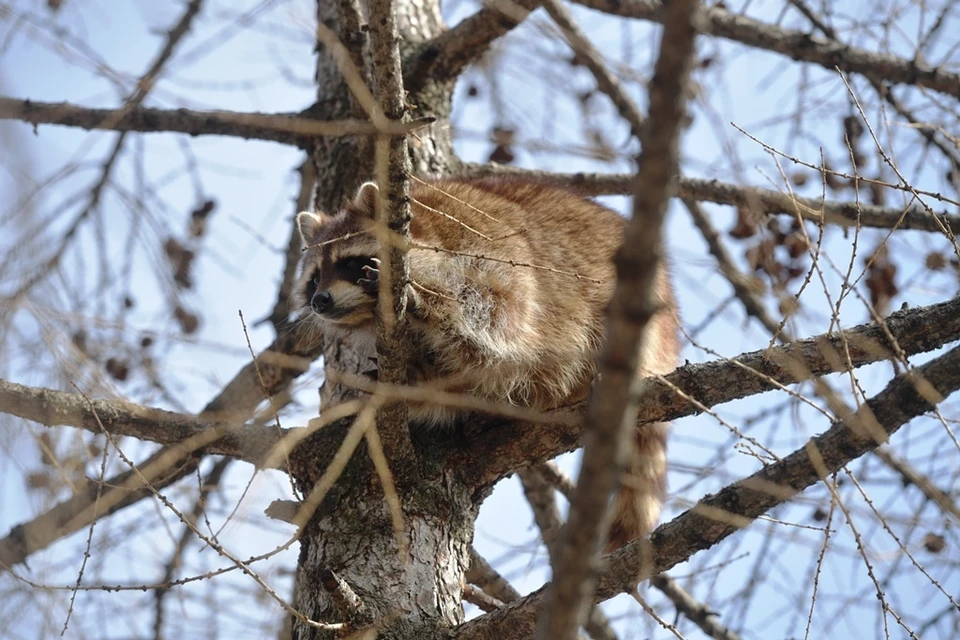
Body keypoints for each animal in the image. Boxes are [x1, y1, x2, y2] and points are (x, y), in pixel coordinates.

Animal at [296, 178, 680, 548]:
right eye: (314, 278)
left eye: (349, 263)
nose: (320, 300)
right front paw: (414, 382)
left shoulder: (489, 253)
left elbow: (494, 324)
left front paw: (430, 305)